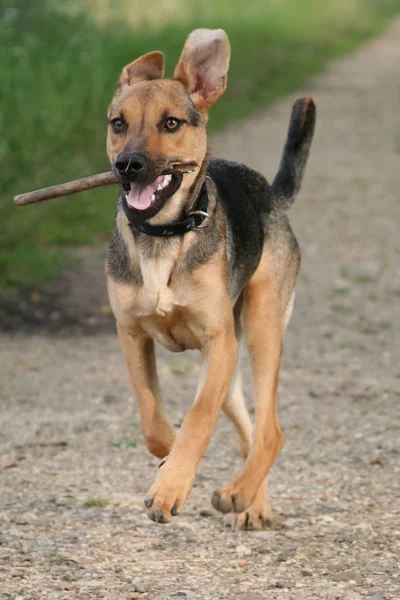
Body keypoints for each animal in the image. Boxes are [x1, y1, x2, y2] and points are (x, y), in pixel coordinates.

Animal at [105, 28, 316, 528]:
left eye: (171, 124)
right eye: (118, 123)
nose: (128, 165)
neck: (162, 235)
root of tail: (272, 196)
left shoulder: (219, 342)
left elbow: (199, 417)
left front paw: (170, 488)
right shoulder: (131, 333)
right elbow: (151, 414)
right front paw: (167, 456)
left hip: (257, 332)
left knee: (271, 432)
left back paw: (238, 493)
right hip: (231, 363)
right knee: (250, 432)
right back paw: (253, 502)